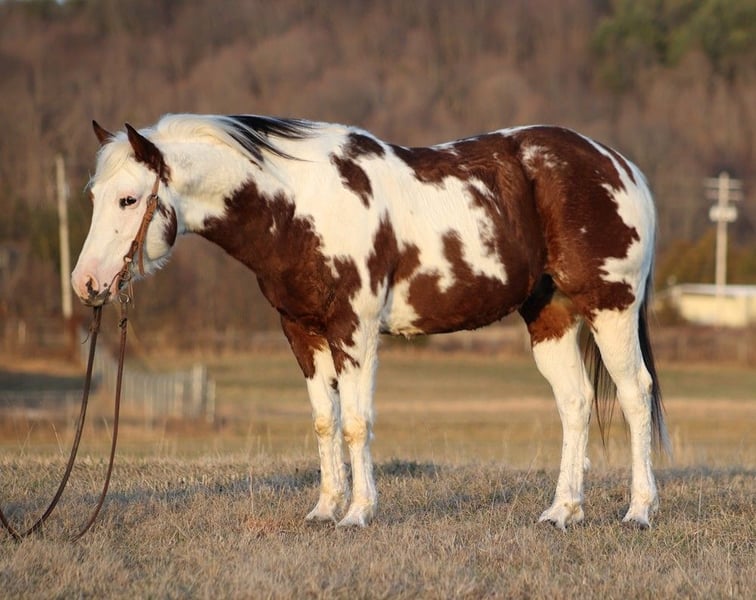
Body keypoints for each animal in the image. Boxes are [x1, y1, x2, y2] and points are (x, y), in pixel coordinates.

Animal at [71, 113, 668, 529]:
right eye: (95, 196)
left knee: (635, 395)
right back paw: (563, 512)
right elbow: (325, 421)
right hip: (551, 318)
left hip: (611, 307)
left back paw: (639, 511)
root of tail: (621, 167)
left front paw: (358, 513)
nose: (86, 284)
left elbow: (356, 422)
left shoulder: (352, 330)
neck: (299, 206)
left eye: (129, 199)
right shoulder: (302, 333)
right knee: (575, 403)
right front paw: (324, 510)